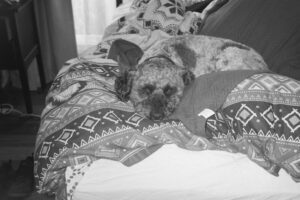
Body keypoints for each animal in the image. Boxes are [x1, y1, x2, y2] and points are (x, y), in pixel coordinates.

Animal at [109, 34, 268, 120]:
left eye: (169, 90)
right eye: (145, 90)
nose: (157, 116)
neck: (162, 55)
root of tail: (265, 66)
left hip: (226, 57)